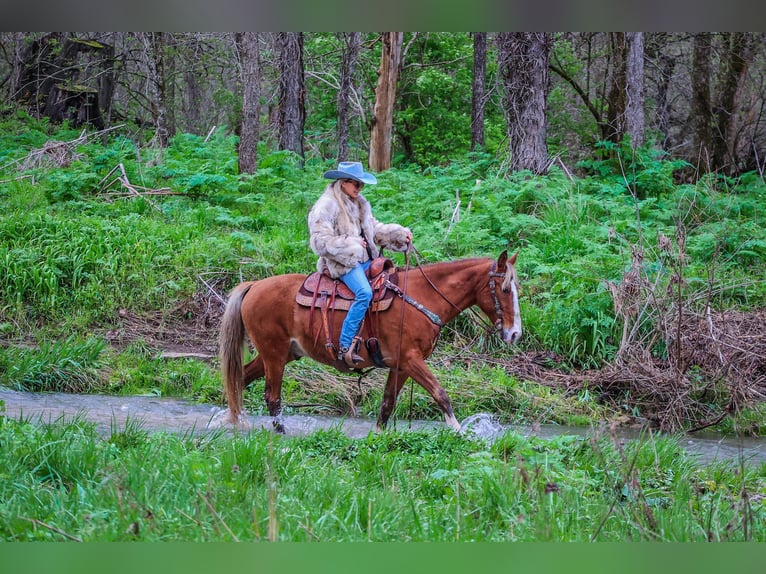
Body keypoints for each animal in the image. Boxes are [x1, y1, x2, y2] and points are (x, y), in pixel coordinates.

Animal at [219, 250, 524, 434]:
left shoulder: (401, 366)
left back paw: (234, 420)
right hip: (274, 354)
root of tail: (254, 286)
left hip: (282, 354)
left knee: (240, 379)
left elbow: (388, 403)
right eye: (504, 289)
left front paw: (377, 436)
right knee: (271, 396)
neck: (421, 297)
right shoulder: (411, 359)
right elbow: (440, 394)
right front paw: (459, 432)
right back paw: (280, 433)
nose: (515, 334)